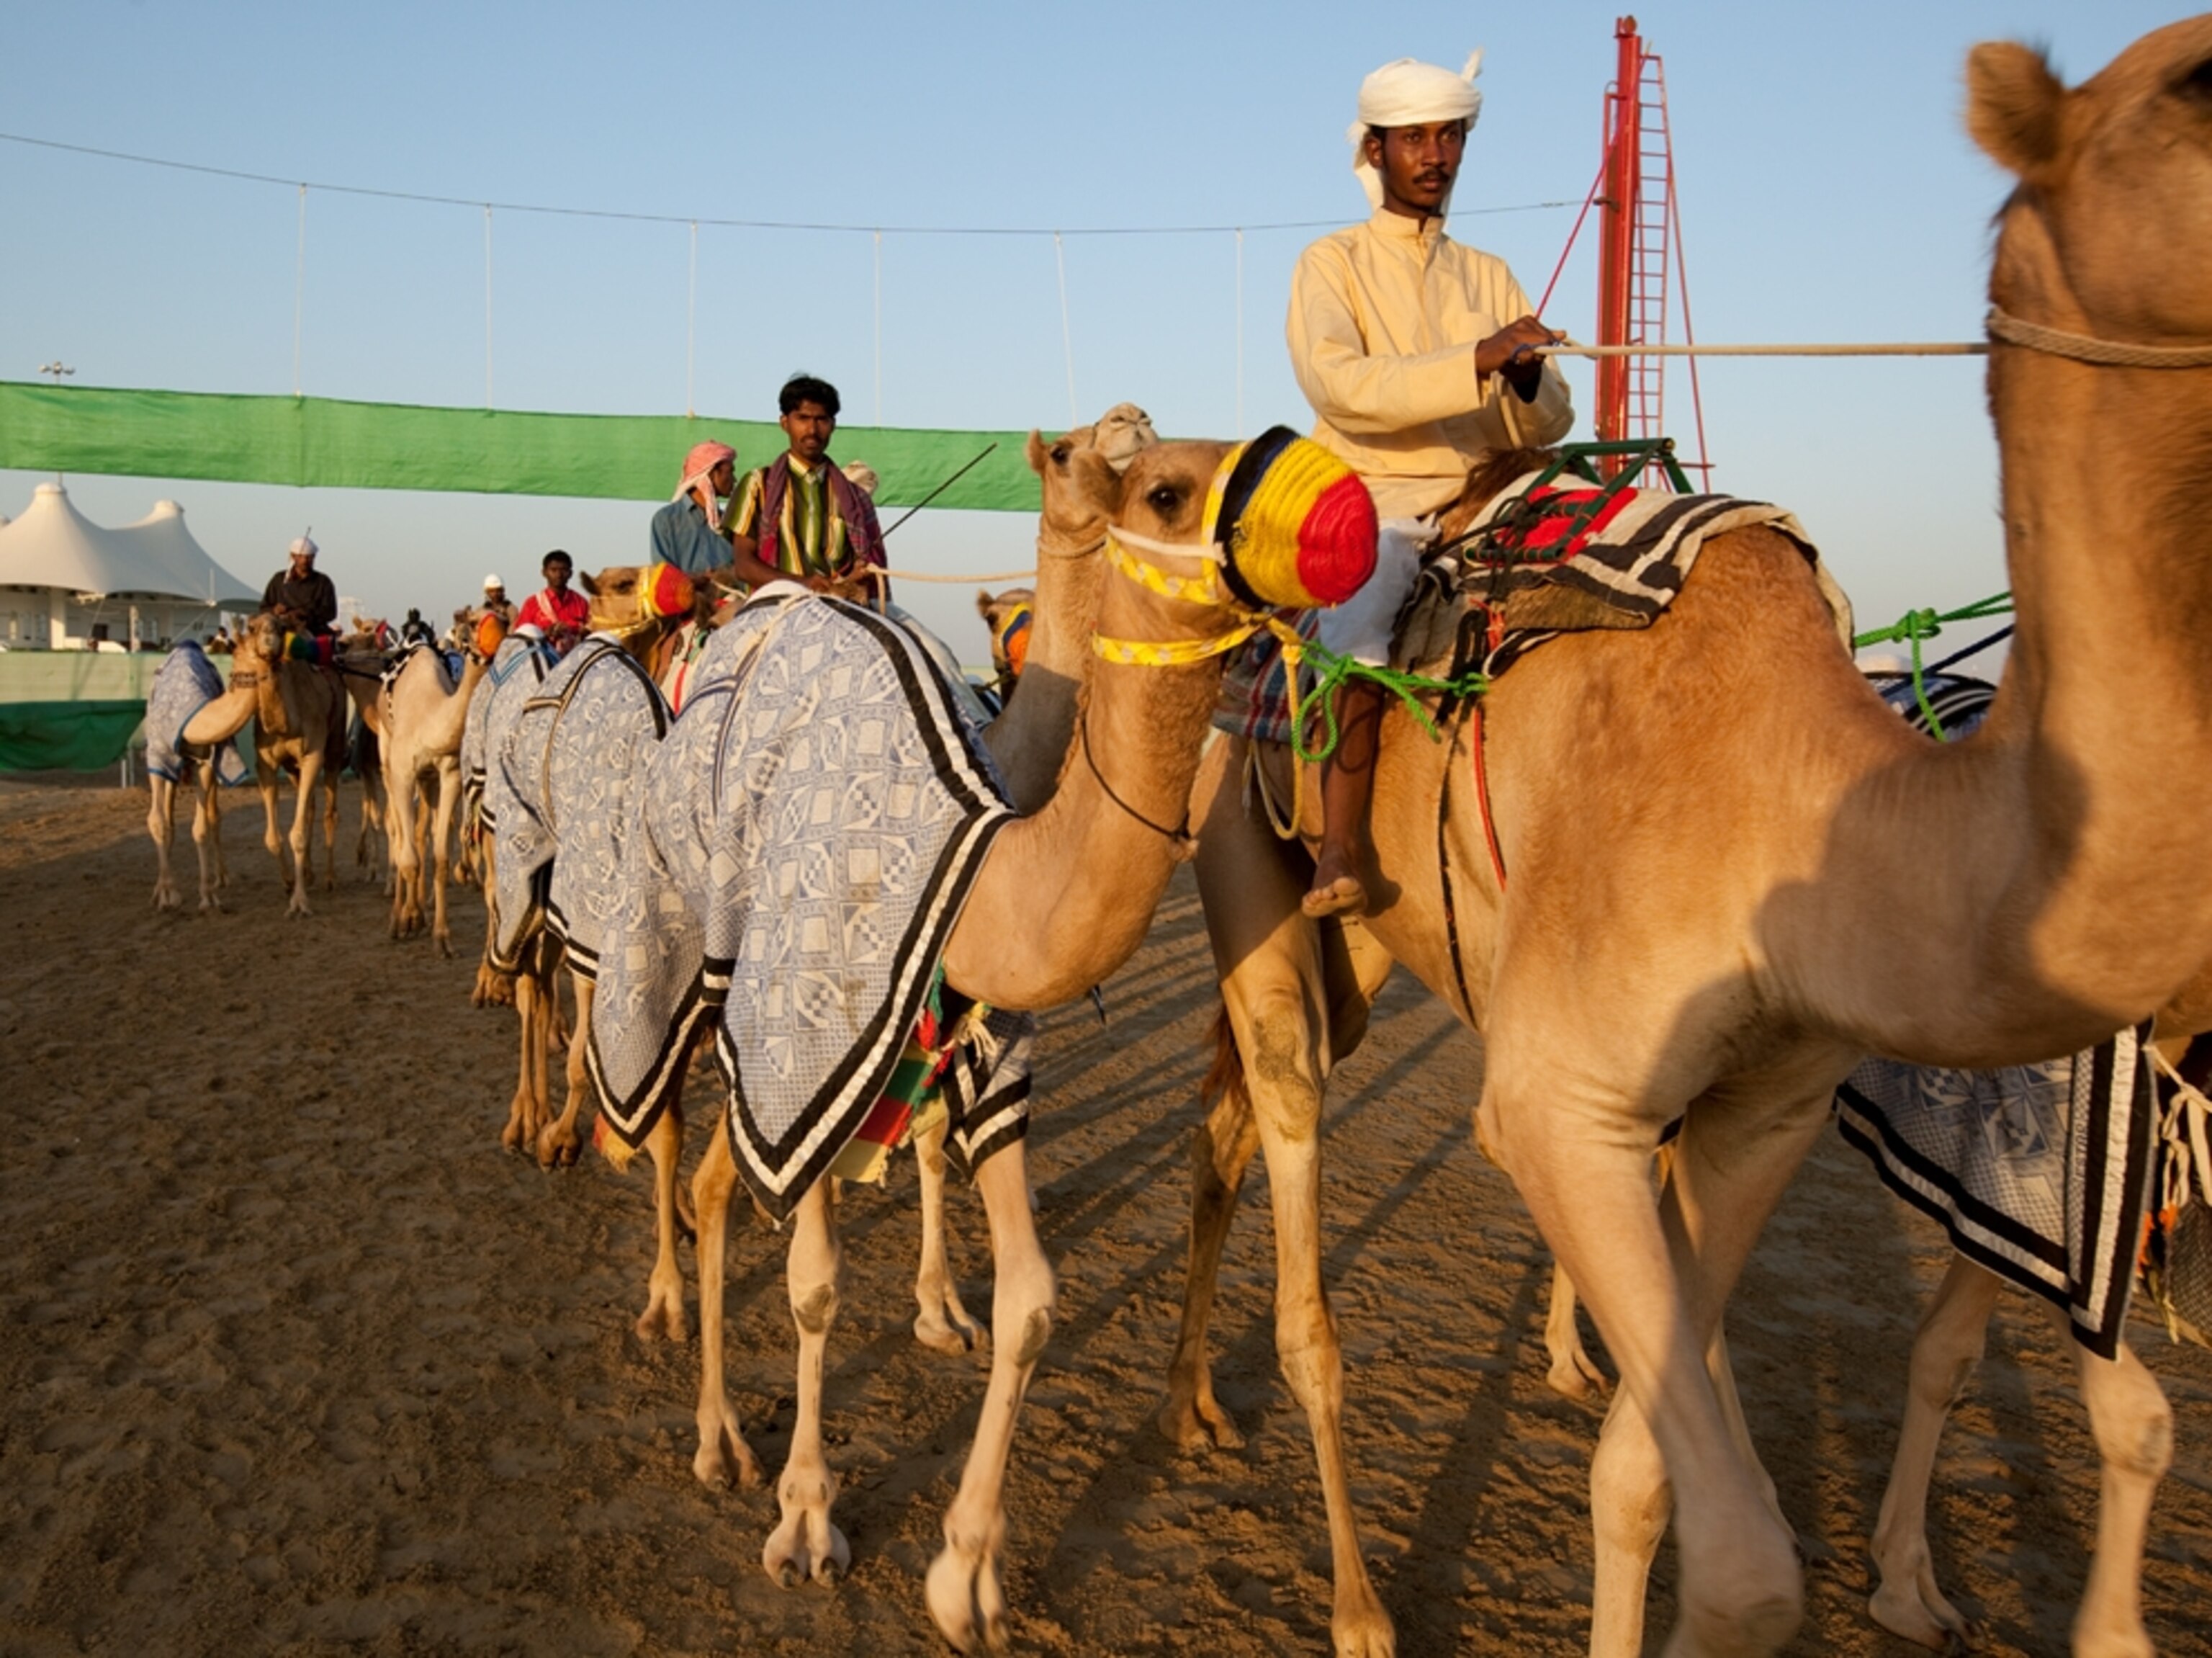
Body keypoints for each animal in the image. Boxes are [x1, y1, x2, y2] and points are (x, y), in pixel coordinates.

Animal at [381, 615, 505, 956]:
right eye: (473, 623)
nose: (500, 637)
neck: (429, 716)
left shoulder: (447, 774)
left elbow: (440, 858)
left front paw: (441, 937)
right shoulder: (402, 773)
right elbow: (407, 857)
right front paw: (404, 922)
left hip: (428, 780)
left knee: (420, 834)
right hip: (387, 761)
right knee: (397, 833)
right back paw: (400, 916)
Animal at [586, 424, 1363, 1654]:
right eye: (1161, 487)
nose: (1343, 509)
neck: (982, 857)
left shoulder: (989, 1058)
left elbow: (1034, 1300)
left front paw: (966, 1574)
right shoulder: (813, 1029)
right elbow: (814, 1285)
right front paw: (807, 1518)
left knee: (715, 1178)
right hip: (680, 942)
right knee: (667, 1132)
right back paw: (712, 1428)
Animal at [1153, 23, 2212, 1657]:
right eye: (2195, 92)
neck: (1796, 791)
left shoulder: (1760, 1105)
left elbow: (1646, 1474)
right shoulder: (1569, 1101)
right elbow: (1745, 1565)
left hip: (1375, 958)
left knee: (1221, 1128)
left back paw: (1202, 1408)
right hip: (1247, 880)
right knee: (1293, 1216)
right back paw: (1353, 1598)